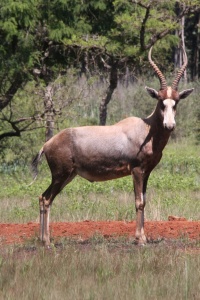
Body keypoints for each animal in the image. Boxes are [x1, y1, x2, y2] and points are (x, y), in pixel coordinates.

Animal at [32, 47, 194, 245]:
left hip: (67, 176)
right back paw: (48, 242)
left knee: (42, 197)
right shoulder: (136, 170)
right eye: (160, 101)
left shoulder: (146, 172)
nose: (169, 125)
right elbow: (139, 202)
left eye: (176, 102)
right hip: (60, 175)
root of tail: (47, 144)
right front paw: (140, 240)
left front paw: (143, 237)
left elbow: (144, 201)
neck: (146, 129)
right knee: (47, 199)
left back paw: (42, 239)